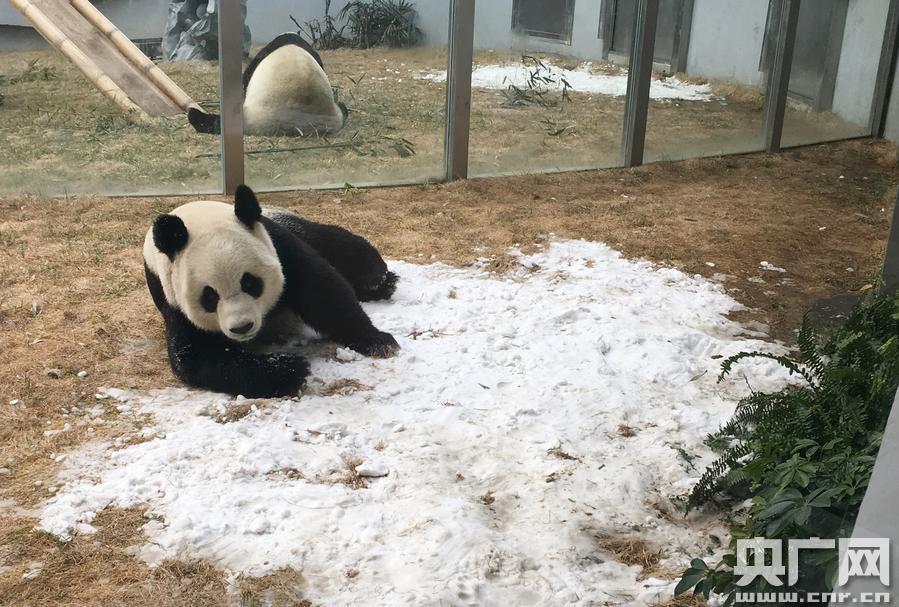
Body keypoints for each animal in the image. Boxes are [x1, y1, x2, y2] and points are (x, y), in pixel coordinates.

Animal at [143, 184, 398, 398]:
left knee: (338, 244)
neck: (197, 219)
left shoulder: (278, 245)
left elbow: (323, 292)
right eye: (209, 296)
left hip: (293, 224)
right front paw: (290, 370)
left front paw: (377, 340)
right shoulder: (171, 295)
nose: (242, 327)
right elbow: (197, 355)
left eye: (249, 283)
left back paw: (380, 282)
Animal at [188, 32, 347, 136]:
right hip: (334, 115)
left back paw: (196, 115)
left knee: (215, 122)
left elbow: (246, 77)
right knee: (343, 110)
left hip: (253, 116)